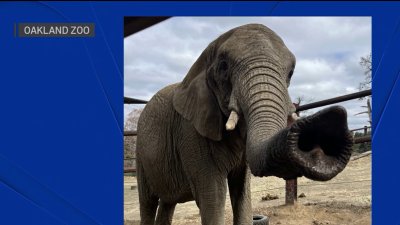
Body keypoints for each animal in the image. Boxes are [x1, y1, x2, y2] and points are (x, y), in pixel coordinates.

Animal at [135, 23, 354, 225]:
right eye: (223, 66)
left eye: (291, 73)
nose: (329, 122)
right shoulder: (191, 133)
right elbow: (213, 197)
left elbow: (242, 194)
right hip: (140, 154)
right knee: (148, 203)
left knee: (167, 203)